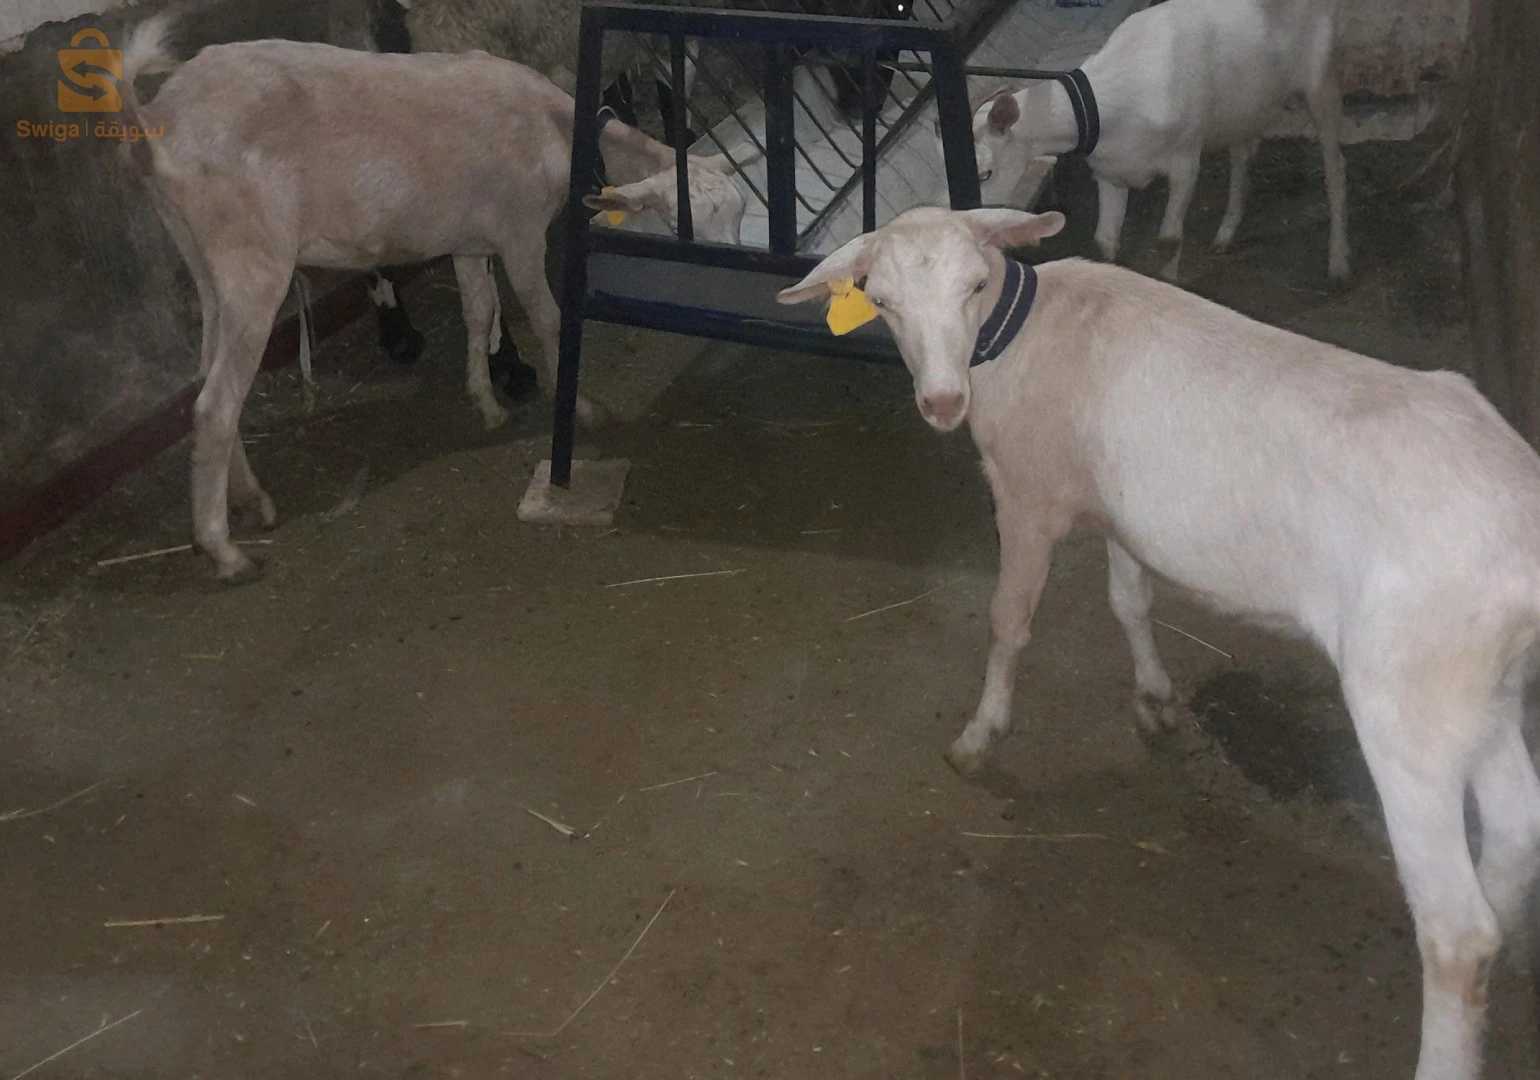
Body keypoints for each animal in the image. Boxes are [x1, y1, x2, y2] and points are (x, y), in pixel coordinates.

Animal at [118, 15, 749, 582]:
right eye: (689, 225)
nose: (735, 289)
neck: (557, 133)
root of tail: (156, 119)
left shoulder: (470, 241)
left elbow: (480, 313)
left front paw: (486, 402)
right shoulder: (519, 231)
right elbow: (547, 317)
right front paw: (582, 405)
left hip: (205, 260)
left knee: (208, 381)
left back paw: (252, 500)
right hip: (253, 257)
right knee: (216, 405)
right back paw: (225, 552)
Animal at [778, 205, 1540, 1080]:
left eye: (972, 285)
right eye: (883, 300)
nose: (941, 403)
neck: (1023, 333)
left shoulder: (1030, 497)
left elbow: (1009, 619)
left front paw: (980, 735)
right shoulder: (1125, 514)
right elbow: (1128, 599)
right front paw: (1154, 699)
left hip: (1407, 700)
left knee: (1456, 932)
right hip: (1480, 690)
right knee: (1517, 830)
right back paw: (1509, 955)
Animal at [969, 0, 1349, 284]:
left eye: (985, 173)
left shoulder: (1185, 162)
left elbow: (1169, 241)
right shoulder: (1109, 174)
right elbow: (1104, 242)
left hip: (1322, 77)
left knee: (1335, 165)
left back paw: (1338, 263)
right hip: (1245, 104)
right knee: (1243, 154)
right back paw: (1225, 234)